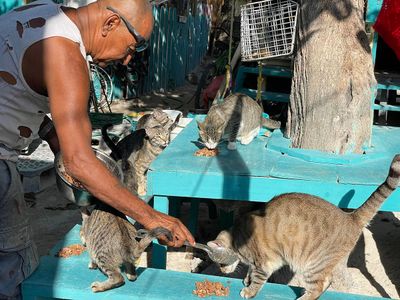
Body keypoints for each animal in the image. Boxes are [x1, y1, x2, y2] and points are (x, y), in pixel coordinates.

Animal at [206, 155, 400, 300]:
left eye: (220, 263)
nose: (222, 271)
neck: (237, 236)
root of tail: (350, 217)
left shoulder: (264, 264)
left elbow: (257, 279)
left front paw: (249, 290)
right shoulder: (257, 263)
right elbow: (250, 271)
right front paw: (246, 280)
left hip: (312, 265)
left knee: (320, 285)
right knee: (328, 281)